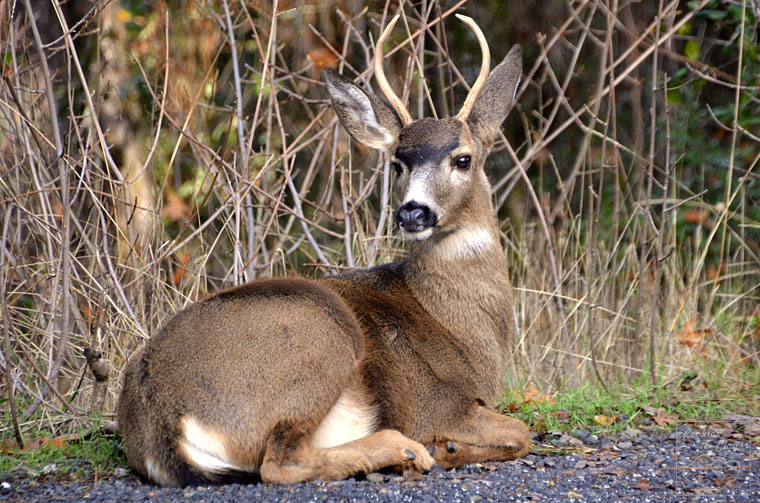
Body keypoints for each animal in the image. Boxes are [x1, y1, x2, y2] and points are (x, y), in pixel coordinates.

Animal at [119, 14, 532, 488]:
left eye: (463, 159)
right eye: (398, 163)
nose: (412, 211)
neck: (462, 328)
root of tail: (160, 421)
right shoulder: (438, 402)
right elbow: (521, 432)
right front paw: (449, 448)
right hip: (321, 332)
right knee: (280, 462)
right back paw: (406, 451)